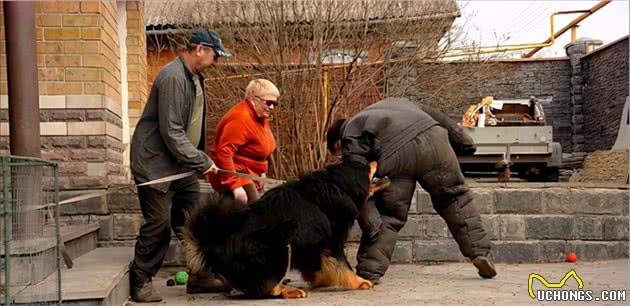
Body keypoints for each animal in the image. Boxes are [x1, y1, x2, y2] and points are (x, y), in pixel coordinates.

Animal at [181, 163, 380, 298]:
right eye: (367, 168)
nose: (375, 160)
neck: (336, 186)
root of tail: (216, 245)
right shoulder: (333, 242)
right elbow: (343, 266)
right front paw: (361, 282)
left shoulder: (312, 246)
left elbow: (317, 268)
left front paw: (321, 280)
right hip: (281, 244)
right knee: (267, 289)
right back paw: (291, 291)